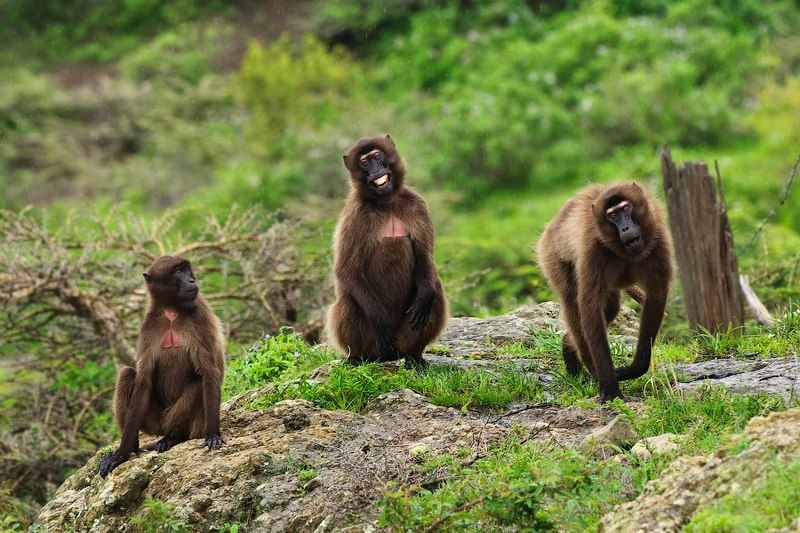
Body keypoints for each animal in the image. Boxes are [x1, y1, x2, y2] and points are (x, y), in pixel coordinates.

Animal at [98, 255, 225, 477]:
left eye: (186, 270)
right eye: (178, 272)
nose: (191, 281)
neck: (171, 312)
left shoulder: (198, 316)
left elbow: (209, 372)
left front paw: (213, 435)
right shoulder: (149, 326)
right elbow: (143, 380)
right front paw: (120, 455)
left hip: (186, 423)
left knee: (197, 383)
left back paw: (174, 437)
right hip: (153, 422)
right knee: (127, 373)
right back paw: (132, 448)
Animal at [326, 135, 448, 367]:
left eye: (377, 156)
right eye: (364, 162)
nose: (376, 170)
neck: (386, 203)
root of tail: (388, 356)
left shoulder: (417, 205)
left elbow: (424, 259)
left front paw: (424, 295)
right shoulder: (356, 214)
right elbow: (346, 270)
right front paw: (380, 320)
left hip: (402, 338)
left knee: (435, 290)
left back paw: (415, 357)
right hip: (375, 343)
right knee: (349, 298)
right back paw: (356, 357)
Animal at [537, 182, 673, 402]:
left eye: (625, 209)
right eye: (612, 215)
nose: (625, 228)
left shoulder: (658, 240)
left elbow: (655, 299)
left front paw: (634, 369)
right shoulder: (593, 251)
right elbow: (589, 309)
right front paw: (609, 386)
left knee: (609, 308)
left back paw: (569, 348)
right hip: (552, 256)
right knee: (574, 304)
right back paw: (581, 362)